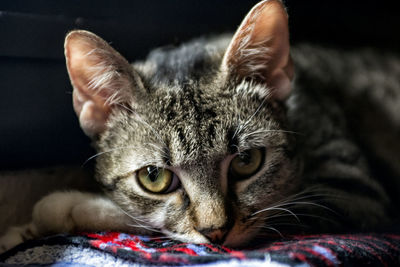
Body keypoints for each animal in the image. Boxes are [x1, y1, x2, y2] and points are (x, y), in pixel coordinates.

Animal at [0, 0, 400, 251]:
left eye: (247, 161)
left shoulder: (353, 192)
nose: (216, 232)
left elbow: (144, 219)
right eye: (154, 177)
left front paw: (65, 206)